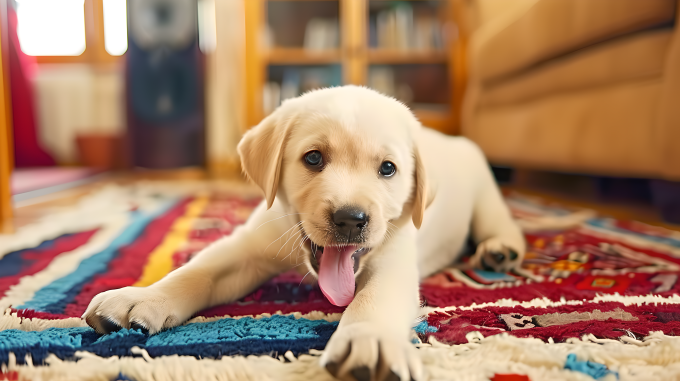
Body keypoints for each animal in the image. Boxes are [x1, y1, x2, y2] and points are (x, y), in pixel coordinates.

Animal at [82, 86, 524, 380]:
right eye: (313, 158)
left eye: (388, 169)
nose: (351, 218)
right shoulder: (246, 246)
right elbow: (195, 271)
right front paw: (141, 298)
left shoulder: (395, 260)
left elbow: (373, 299)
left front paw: (371, 340)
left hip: (486, 192)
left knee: (500, 221)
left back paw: (500, 250)